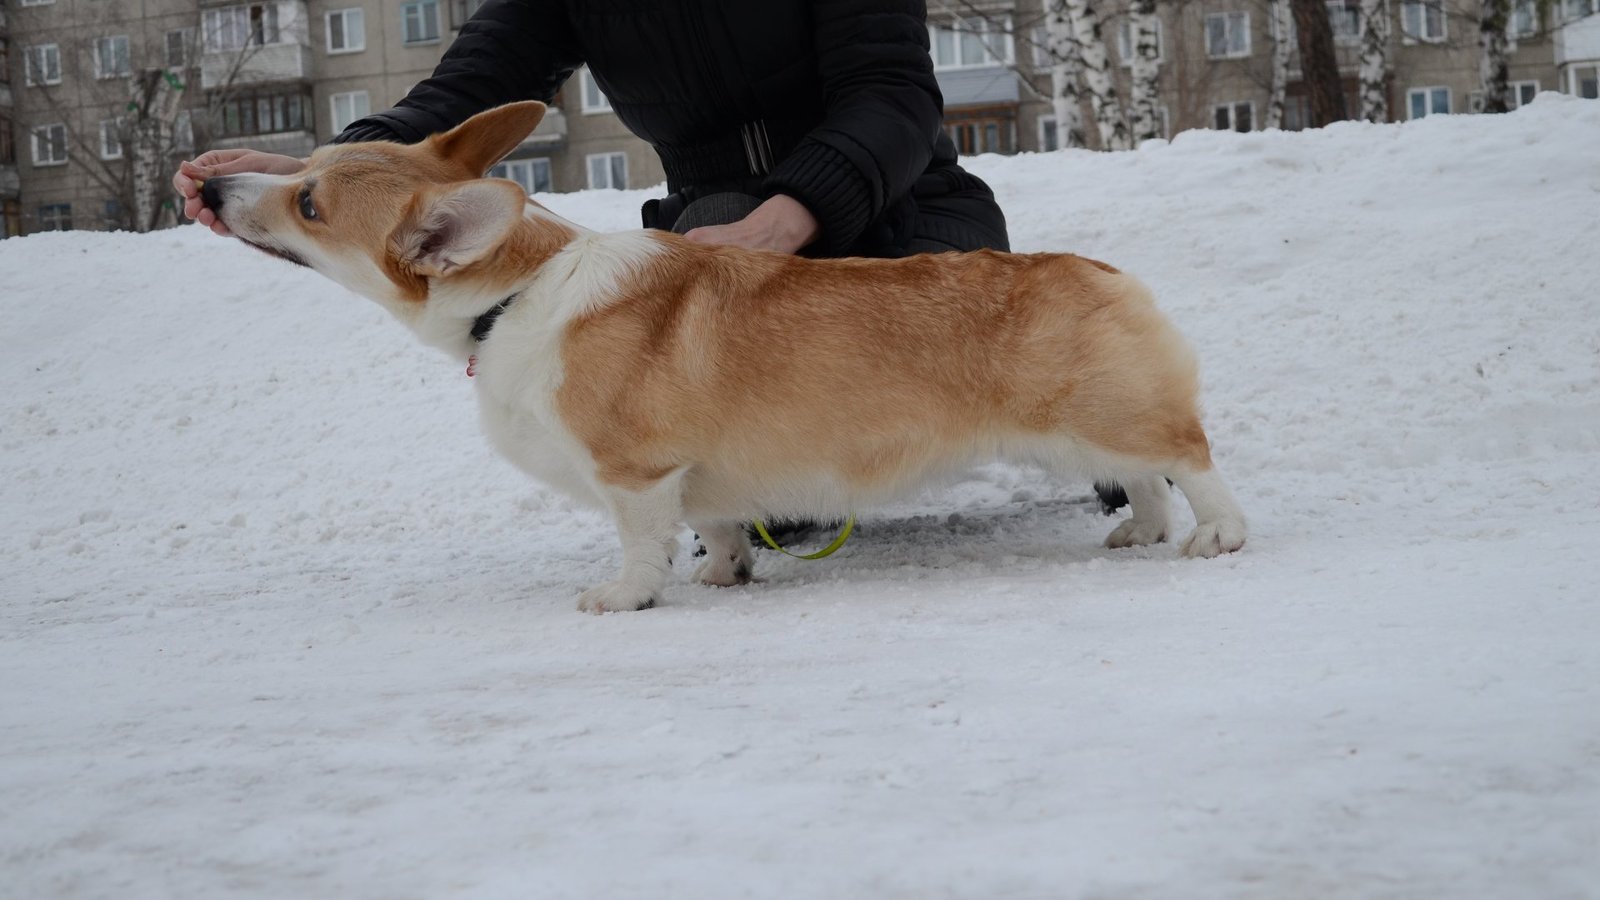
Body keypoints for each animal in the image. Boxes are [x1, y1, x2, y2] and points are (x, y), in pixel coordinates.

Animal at [203, 101, 1248, 611]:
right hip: (1084, 431)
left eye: (308, 205)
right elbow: (718, 527)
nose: (211, 188)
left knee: (1190, 461)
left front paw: (625, 597)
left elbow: (639, 543)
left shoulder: (634, 471)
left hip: (1106, 415)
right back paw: (1139, 534)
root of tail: (1104, 271)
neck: (516, 295)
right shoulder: (695, 477)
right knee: (1147, 479)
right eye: (302, 172)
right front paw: (720, 575)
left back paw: (1217, 539)